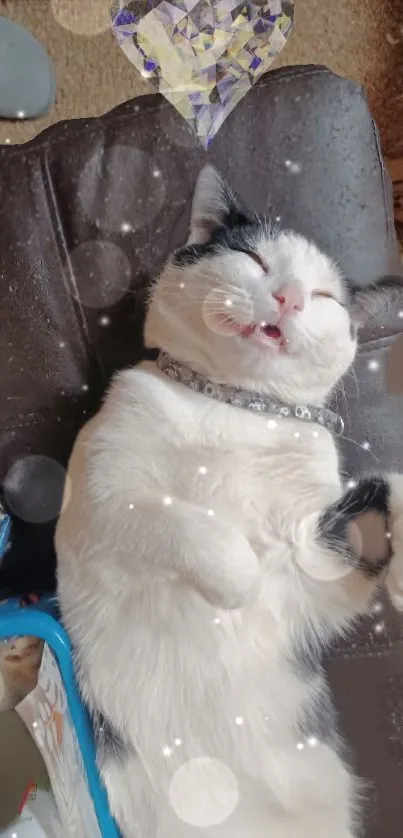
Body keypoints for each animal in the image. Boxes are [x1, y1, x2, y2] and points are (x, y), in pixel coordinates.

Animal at [56, 166, 403, 838]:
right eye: (253, 258)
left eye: (324, 298)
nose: (290, 298)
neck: (233, 406)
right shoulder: (98, 495)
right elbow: (188, 526)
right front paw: (236, 580)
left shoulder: (316, 567)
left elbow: (388, 486)